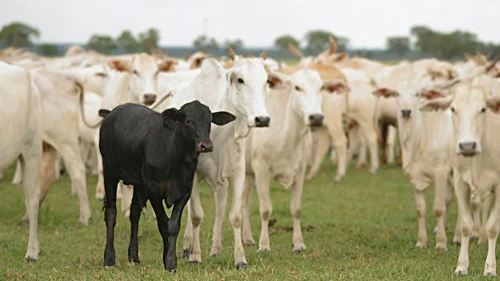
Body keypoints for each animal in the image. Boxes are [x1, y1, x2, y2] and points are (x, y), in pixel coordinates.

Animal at [162, 54, 272, 266]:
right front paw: (195, 256)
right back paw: (188, 246)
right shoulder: (193, 175)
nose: (262, 119)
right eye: (240, 80)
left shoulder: (237, 173)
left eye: (266, 82)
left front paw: (240, 259)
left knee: (220, 209)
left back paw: (215, 248)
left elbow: (235, 216)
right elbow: (196, 215)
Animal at [240, 68, 350, 252]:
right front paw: (264, 245)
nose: (316, 117)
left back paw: (247, 238)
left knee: (244, 201)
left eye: (322, 88)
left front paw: (298, 243)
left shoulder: (299, 170)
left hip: (248, 173)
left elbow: (296, 209)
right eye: (297, 87)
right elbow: (265, 210)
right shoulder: (261, 170)